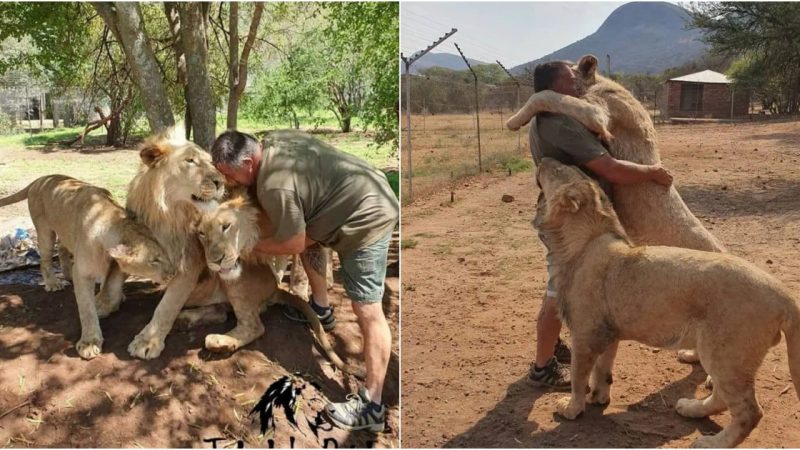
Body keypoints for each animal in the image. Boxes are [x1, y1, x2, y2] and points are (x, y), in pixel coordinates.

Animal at [0, 175, 176, 358]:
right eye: (154, 260)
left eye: (165, 254)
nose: (174, 272)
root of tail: (41, 178)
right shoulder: (83, 273)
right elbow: (86, 308)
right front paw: (89, 343)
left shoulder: (112, 264)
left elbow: (108, 284)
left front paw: (111, 299)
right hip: (44, 231)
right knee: (45, 259)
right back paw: (53, 283)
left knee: (62, 248)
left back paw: (67, 275)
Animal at [195, 194, 364, 380]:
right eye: (201, 233)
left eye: (226, 226)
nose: (215, 261)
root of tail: (275, 287)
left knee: (254, 326)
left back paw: (220, 341)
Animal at [532, 157, 800, 446]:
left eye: (559, 169)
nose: (544, 160)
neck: (583, 240)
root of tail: (783, 294)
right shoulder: (608, 331)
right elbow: (602, 369)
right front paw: (598, 398)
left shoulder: (584, 335)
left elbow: (578, 376)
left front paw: (571, 408)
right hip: (721, 355)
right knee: (721, 397)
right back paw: (691, 409)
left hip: (726, 352)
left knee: (749, 412)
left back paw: (711, 443)